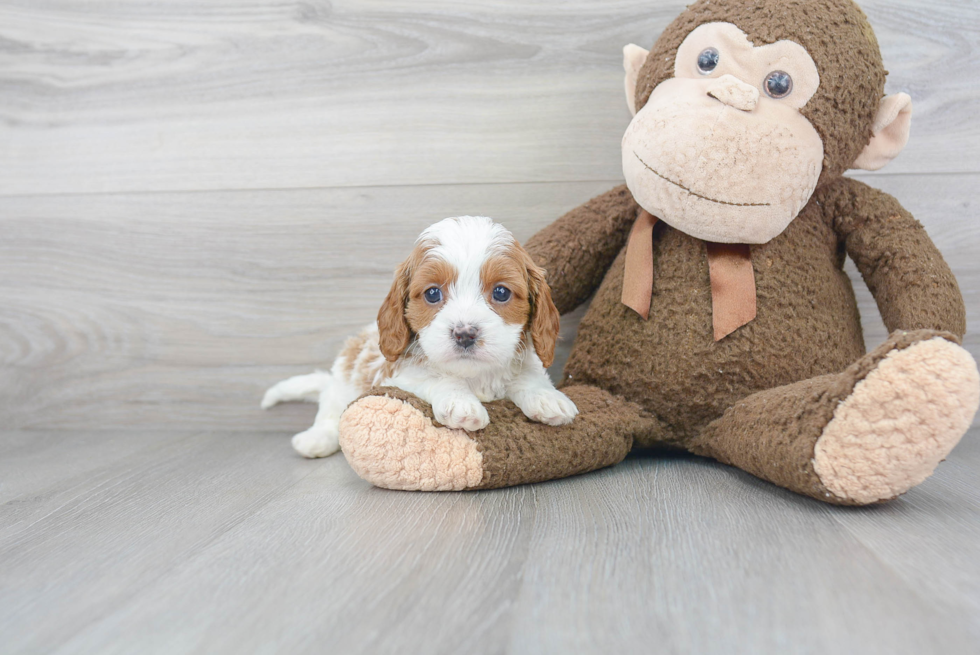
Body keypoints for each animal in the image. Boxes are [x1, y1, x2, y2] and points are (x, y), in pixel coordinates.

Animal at [264, 215, 580, 456]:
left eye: (501, 292)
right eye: (432, 294)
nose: (465, 334)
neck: (475, 375)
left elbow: (527, 377)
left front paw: (547, 398)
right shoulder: (397, 374)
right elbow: (437, 378)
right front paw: (460, 403)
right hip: (343, 381)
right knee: (329, 410)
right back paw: (316, 439)